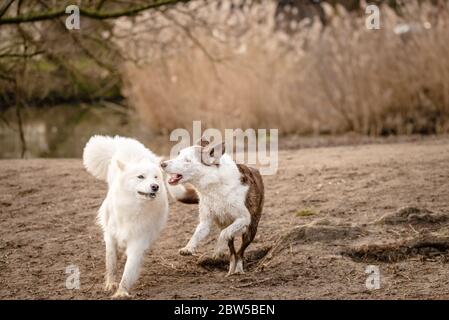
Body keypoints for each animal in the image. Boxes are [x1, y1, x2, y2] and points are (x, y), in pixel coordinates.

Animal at [83, 134, 188, 298]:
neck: (134, 207)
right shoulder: (111, 236)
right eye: (141, 177)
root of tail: (123, 141)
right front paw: (111, 284)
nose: (155, 187)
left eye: (155, 177)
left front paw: (121, 292)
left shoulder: (138, 241)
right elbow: (111, 262)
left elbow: (129, 270)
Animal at [160, 138, 262, 276]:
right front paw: (188, 248)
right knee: (232, 251)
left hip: (250, 230)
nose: (162, 164)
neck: (214, 185)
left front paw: (217, 250)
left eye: (187, 160)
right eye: (178, 154)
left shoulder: (244, 218)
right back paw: (230, 271)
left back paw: (238, 270)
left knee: (240, 251)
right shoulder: (205, 221)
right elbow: (197, 234)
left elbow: (223, 234)